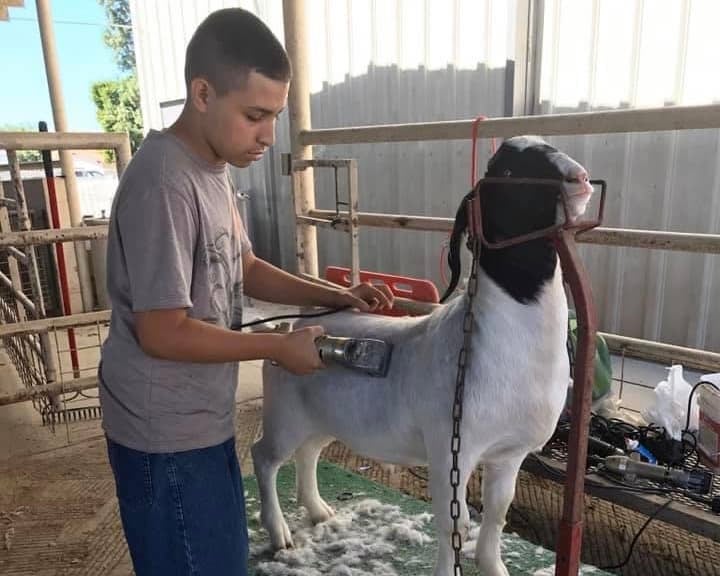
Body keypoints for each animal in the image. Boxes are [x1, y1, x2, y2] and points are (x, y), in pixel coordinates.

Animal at [250, 136, 592, 576]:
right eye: (505, 170)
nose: (580, 178)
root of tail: (290, 328)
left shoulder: (508, 453)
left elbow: (498, 513)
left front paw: (493, 566)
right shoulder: (451, 450)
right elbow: (454, 525)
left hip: (322, 418)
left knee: (307, 454)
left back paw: (319, 512)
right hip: (284, 413)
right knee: (265, 457)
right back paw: (279, 533)